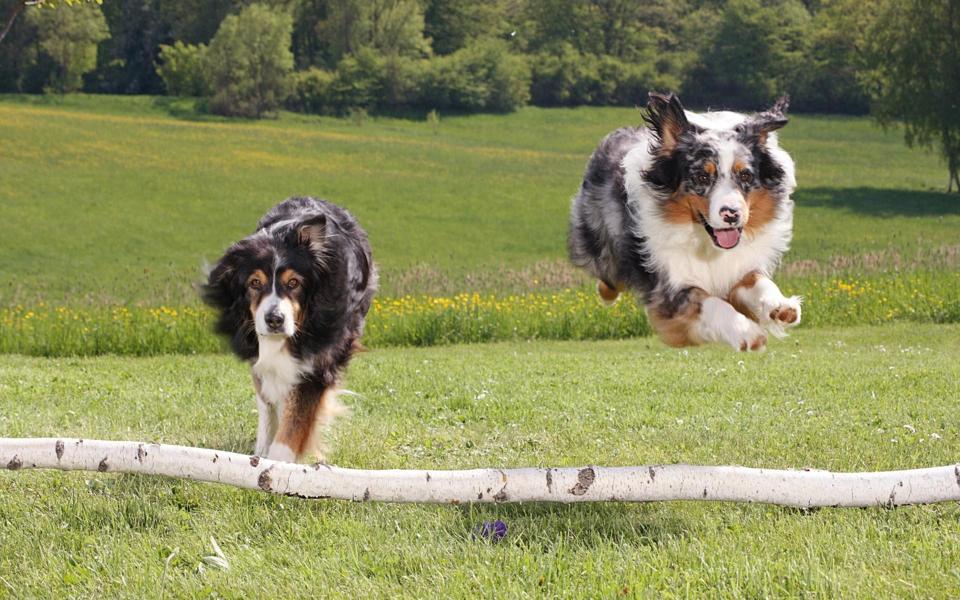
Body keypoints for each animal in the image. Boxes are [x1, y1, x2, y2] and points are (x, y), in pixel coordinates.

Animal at [202, 197, 376, 464]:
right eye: (255, 283)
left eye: (294, 283)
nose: (275, 319)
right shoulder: (259, 354)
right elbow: (267, 401)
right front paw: (262, 453)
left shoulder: (319, 361)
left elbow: (296, 416)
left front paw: (279, 462)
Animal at [568, 91, 804, 350]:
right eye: (701, 177)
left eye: (745, 175)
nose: (731, 214)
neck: (705, 243)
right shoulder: (670, 289)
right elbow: (710, 302)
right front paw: (746, 331)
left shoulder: (737, 267)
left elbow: (758, 281)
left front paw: (781, 306)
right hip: (600, 245)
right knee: (609, 277)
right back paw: (606, 293)